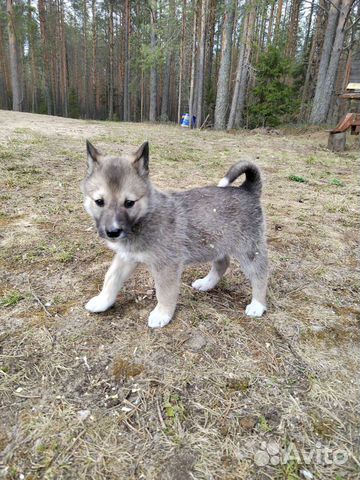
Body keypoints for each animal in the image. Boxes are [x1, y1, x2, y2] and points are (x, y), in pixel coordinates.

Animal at [81, 141, 268, 328]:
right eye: (99, 202)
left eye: (129, 203)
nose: (113, 232)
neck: (145, 218)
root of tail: (247, 189)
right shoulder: (126, 256)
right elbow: (111, 279)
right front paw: (102, 301)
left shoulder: (167, 266)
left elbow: (164, 292)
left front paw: (162, 313)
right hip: (217, 242)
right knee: (222, 263)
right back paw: (206, 283)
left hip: (248, 250)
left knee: (260, 274)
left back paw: (257, 305)